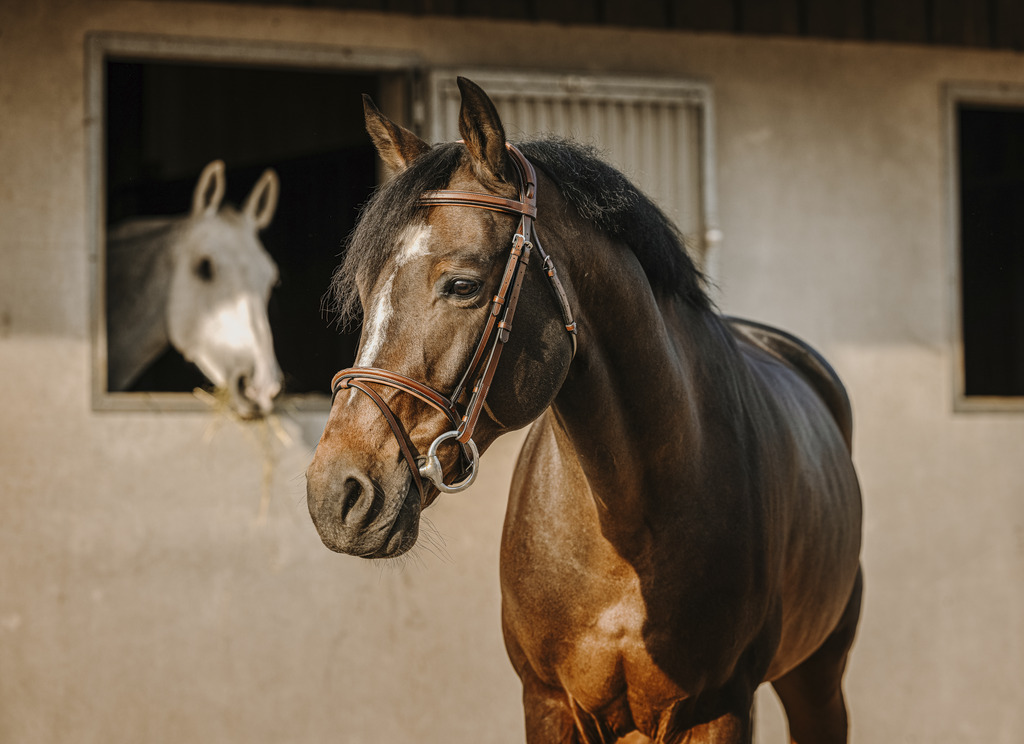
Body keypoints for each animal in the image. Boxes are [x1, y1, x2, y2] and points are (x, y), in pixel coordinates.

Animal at [306, 78, 863, 744]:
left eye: (463, 285)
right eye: (366, 295)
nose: (336, 494)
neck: (626, 526)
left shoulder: (720, 708)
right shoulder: (548, 701)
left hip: (819, 674)